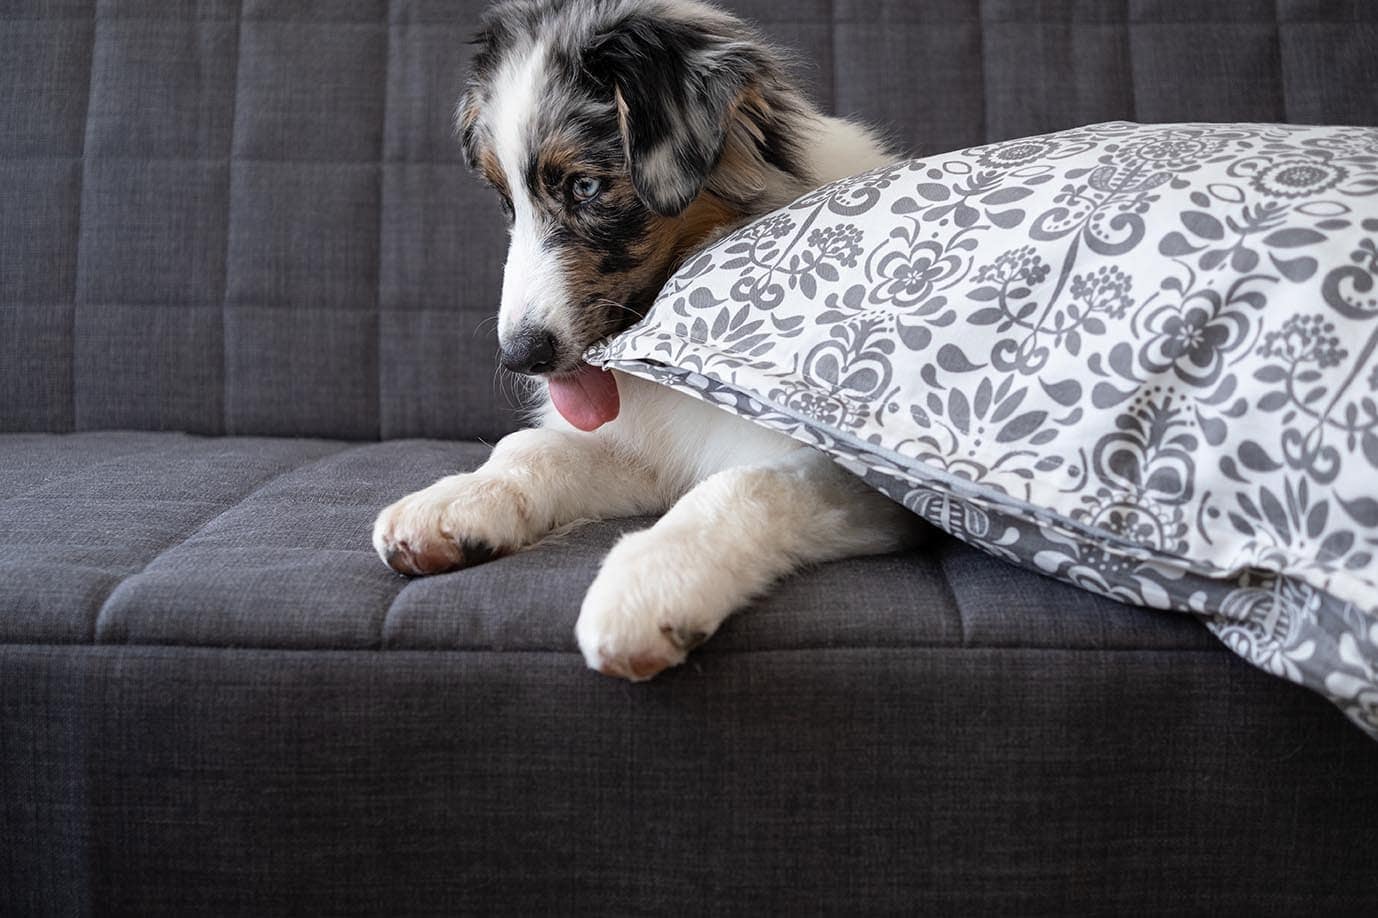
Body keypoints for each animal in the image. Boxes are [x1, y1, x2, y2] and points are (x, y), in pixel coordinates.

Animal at [372, 0, 920, 675]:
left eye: (584, 187)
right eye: (506, 203)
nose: (519, 357)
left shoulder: (873, 479)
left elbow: (747, 484)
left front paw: (649, 586)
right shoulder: (653, 448)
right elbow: (535, 448)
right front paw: (457, 503)